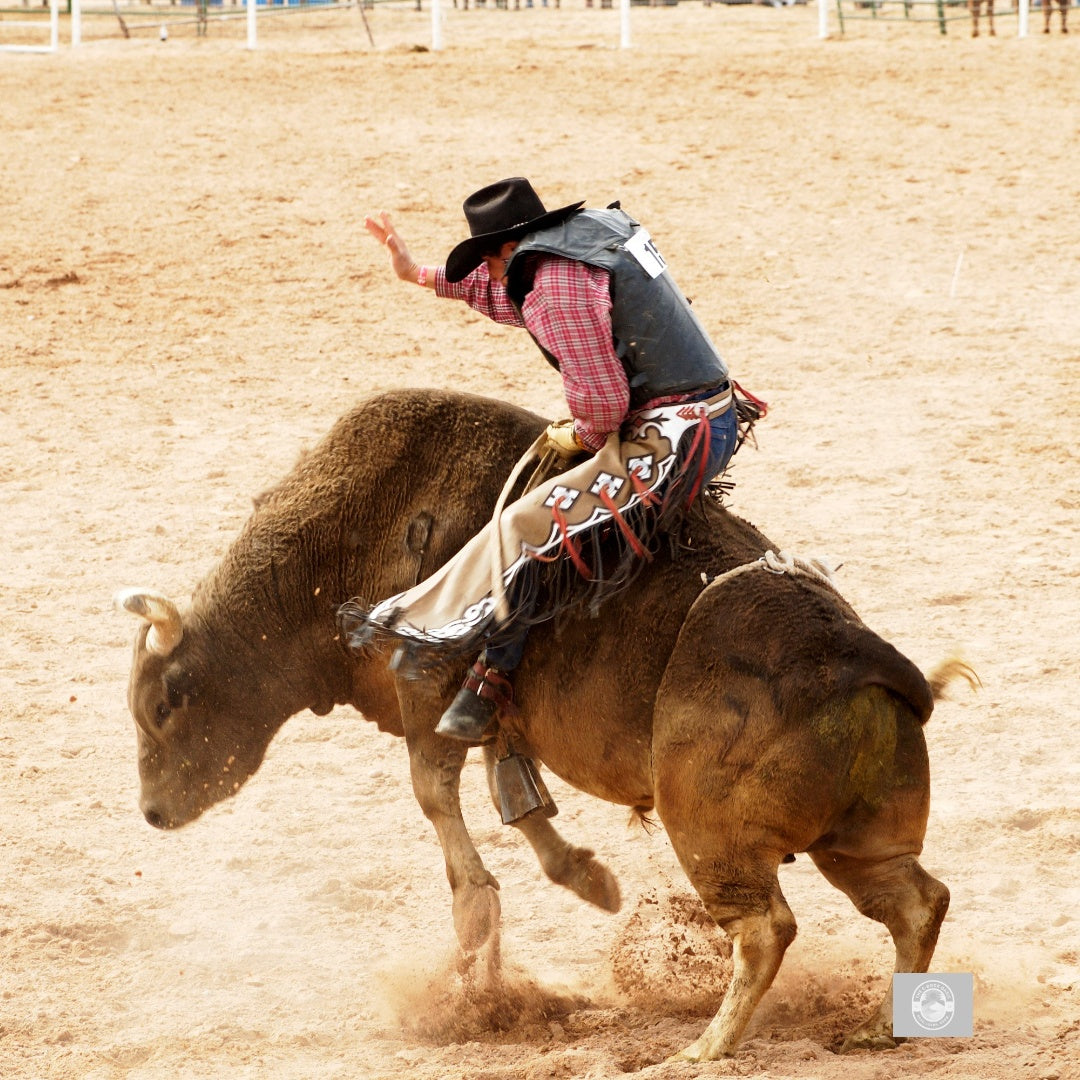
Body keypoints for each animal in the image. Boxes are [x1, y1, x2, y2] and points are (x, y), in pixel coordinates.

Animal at [118, 388, 970, 1060]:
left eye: (163, 706)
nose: (153, 813)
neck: (351, 532)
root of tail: (860, 661)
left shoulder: (426, 681)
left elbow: (435, 791)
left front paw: (478, 920)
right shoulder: (494, 714)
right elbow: (518, 796)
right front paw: (586, 876)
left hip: (711, 834)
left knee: (766, 932)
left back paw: (702, 1049)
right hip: (858, 843)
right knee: (917, 902)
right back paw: (883, 1027)